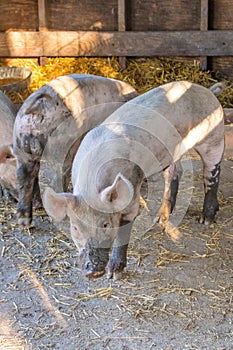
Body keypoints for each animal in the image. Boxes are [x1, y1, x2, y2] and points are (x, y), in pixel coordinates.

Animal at [13, 75, 138, 226]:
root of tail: (39, 106)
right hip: (61, 149)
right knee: (56, 177)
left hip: (20, 147)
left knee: (24, 177)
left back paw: (24, 219)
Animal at [42, 80, 225, 280]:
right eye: (75, 228)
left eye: (105, 224)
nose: (92, 271)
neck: (91, 185)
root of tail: (207, 90)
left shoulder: (132, 187)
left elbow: (125, 229)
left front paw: (114, 274)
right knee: (176, 172)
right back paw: (161, 219)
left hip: (214, 137)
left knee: (212, 172)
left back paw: (206, 219)